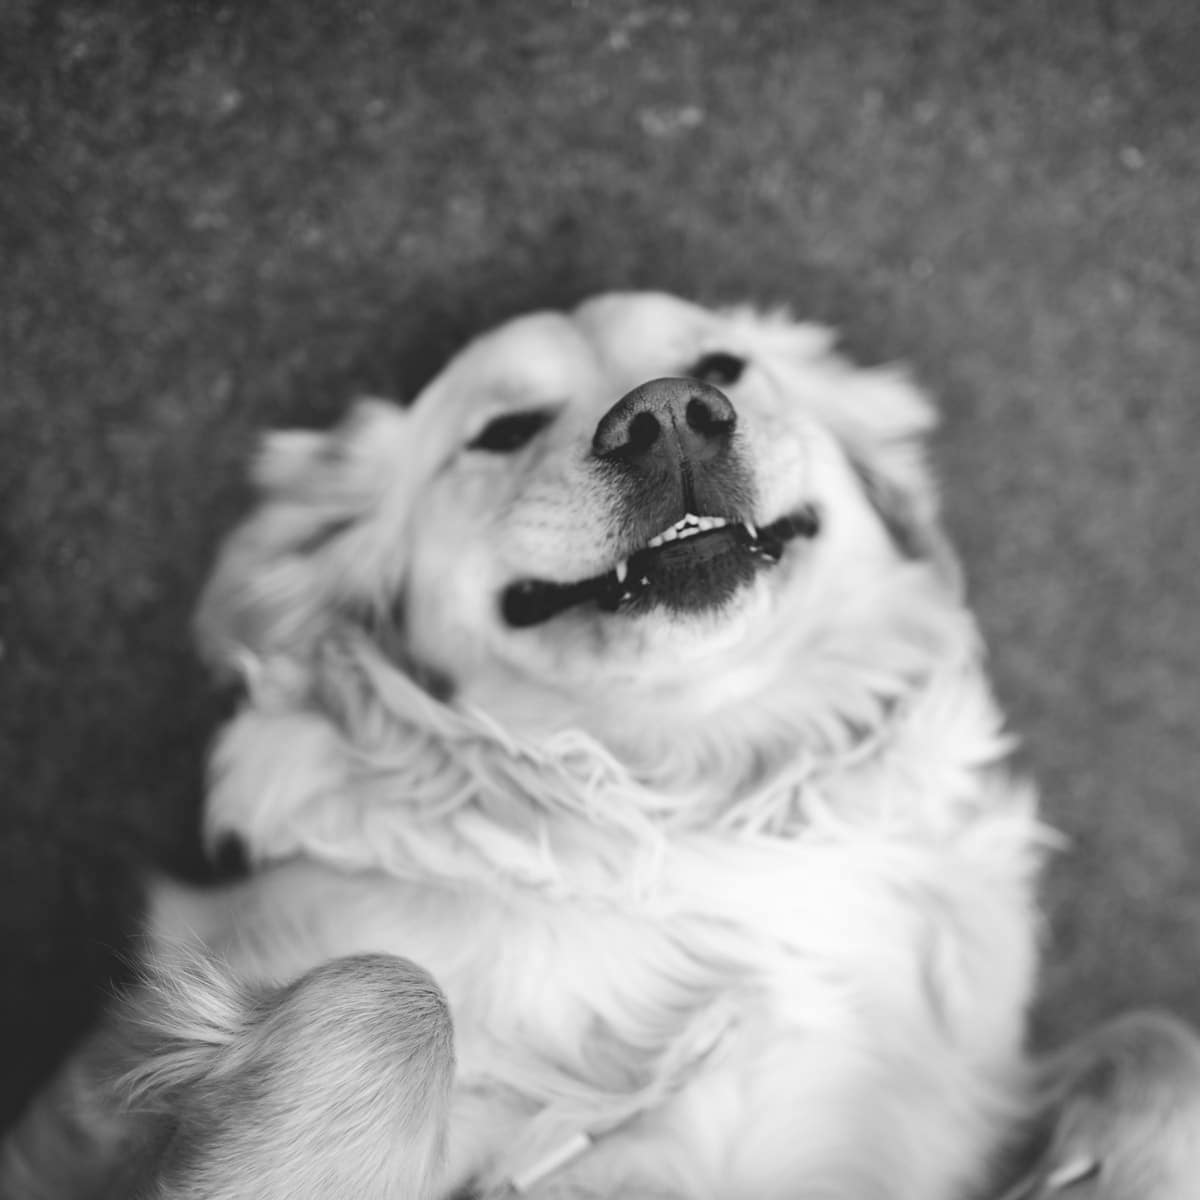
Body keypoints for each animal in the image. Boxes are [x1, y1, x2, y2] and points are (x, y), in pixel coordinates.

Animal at [7, 292, 1190, 1200]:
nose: (669, 415)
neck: (695, 800)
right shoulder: (102, 1089)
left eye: (724, 366)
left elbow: (1166, 1034)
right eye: (501, 429)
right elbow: (393, 991)